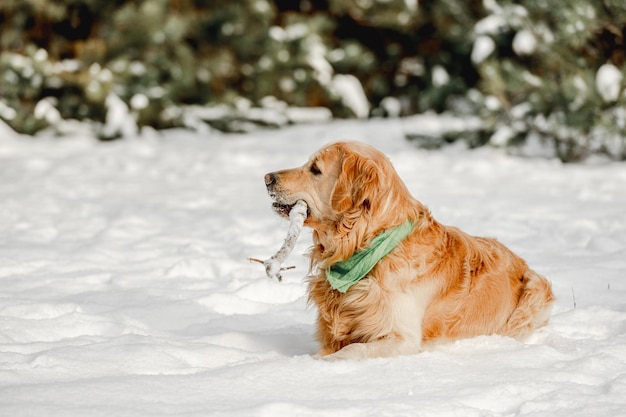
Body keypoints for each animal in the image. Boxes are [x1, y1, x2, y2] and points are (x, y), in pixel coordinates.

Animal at [264, 141, 552, 360]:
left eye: (315, 169)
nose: (267, 178)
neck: (366, 247)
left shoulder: (402, 338)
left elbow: (350, 351)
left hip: (534, 291)